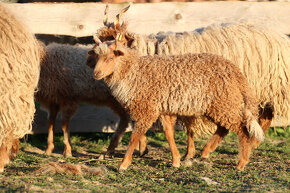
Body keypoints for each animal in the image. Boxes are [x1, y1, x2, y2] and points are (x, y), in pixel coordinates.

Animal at [90, 40, 266, 170]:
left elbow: (135, 137)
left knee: (242, 129)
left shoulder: (147, 108)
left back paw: (241, 163)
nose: (96, 74)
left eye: (110, 58)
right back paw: (206, 152)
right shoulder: (162, 109)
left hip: (224, 103)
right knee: (224, 129)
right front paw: (176, 161)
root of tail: (237, 72)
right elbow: (169, 134)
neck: (134, 72)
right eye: (97, 58)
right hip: (220, 105)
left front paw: (124, 164)